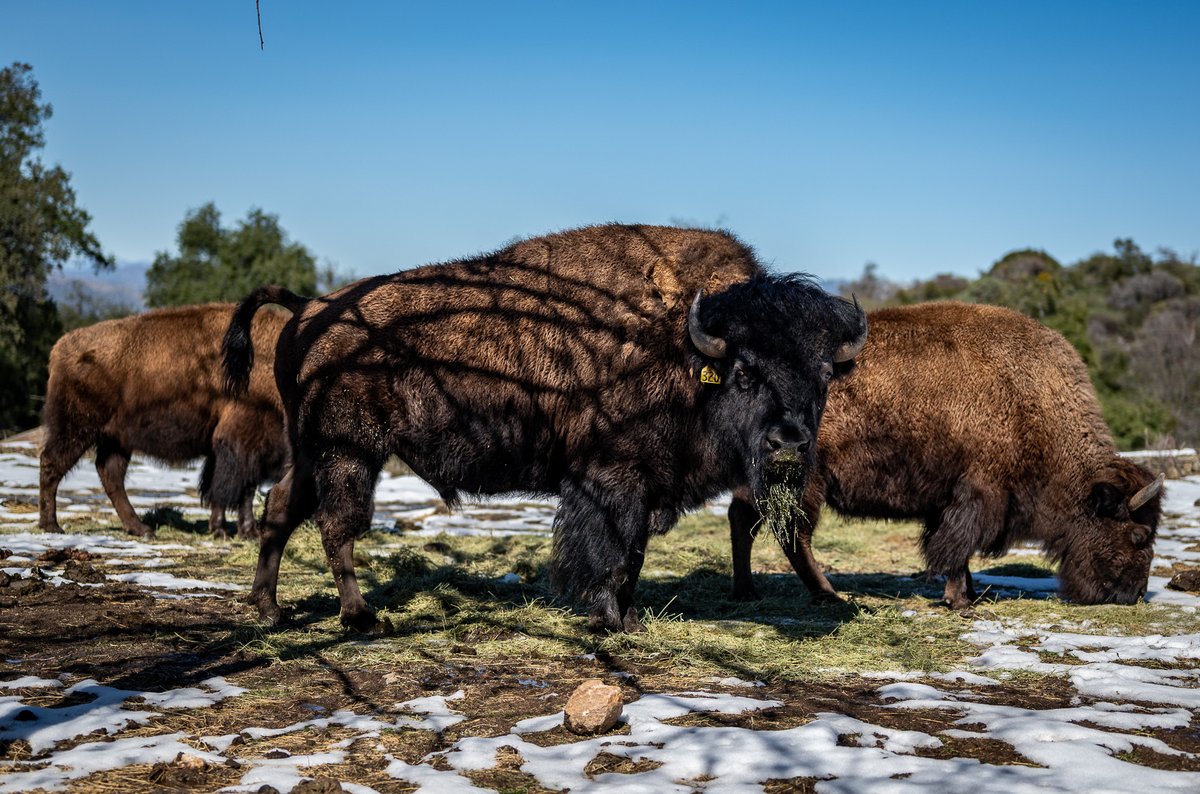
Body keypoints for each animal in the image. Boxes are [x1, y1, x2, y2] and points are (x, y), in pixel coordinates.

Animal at [39, 304, 289, 539]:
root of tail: (60, 347)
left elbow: (226, 487)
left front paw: (226, 529)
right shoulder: (244, 440)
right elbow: (240, 489)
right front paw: (241, 532)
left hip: (116, 439)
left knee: (110, 475)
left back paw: (141, 528)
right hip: (77, 428)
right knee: (52, 463)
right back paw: (52, 526)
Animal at [223, 224, 867, 633]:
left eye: (822, 376)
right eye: (745, 371)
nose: (789, 444)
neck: (687, 349)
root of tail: (308, 308)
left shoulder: (649, 485)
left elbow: (634, 554)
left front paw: (630, 617)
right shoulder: (612, 480)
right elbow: (610, 553)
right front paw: (608, 619)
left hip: (311, 450)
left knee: (282, 509)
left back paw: (269, 609)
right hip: (349, 452)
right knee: (338, 524)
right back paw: (360, 618)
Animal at [729, 301, 1164, 609]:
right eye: (1139, 535)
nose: (1133, 595)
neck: (1031, 403)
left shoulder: (949, 500)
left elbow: (954, 547)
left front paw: (969, 594)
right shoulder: (978, 496)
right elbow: (957, 546)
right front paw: (960, 601)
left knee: (744, 519)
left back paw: (748, 591)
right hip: (805, 480)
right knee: (793, 533)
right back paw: (827, 594)